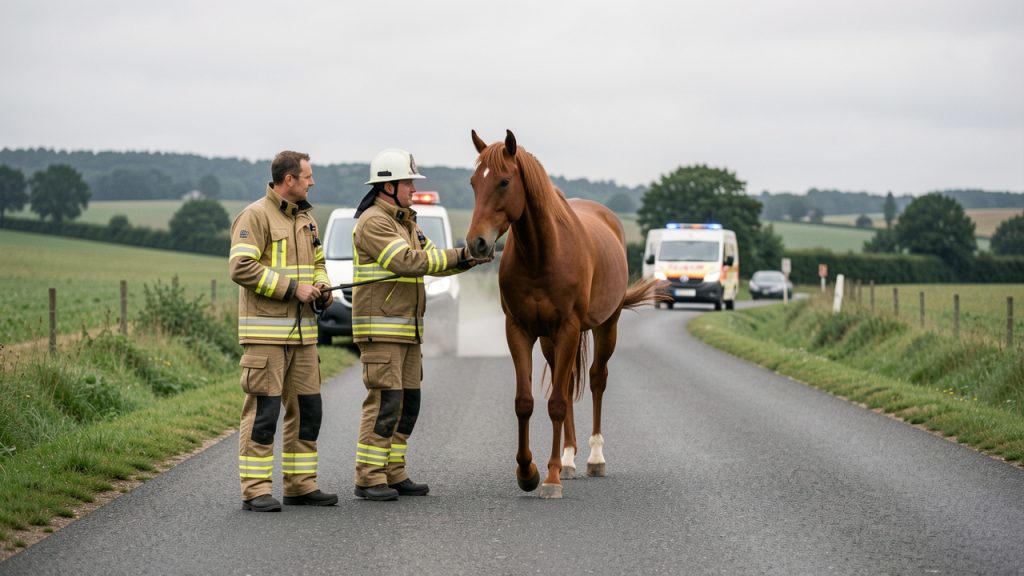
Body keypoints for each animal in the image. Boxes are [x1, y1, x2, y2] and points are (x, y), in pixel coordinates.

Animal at [466, 129, 665, 498]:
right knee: (569, 382)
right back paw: (569, 458)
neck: (542, 255)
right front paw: (528, 471)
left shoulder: (569, 328)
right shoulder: (519, 330)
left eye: (504, 182)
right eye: (473, 183)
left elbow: (557, 403)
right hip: (550, 340)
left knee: (597, 379)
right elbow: (526, 402)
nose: (477, 244)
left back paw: (593, 458)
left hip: (606, 327)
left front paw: (551, 478)